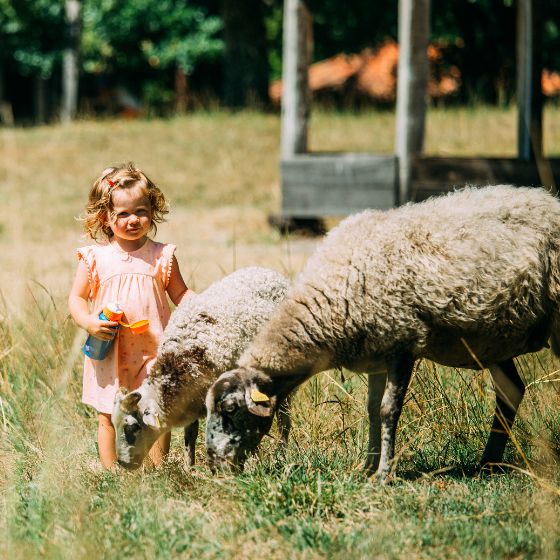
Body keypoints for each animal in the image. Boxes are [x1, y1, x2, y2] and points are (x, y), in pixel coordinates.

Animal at [112, 266, 290, 468]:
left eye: (133, 427)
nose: (122, 463)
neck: (181, 361)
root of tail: (267, 271)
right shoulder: (191, 402)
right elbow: (190, 434)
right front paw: (189, 467)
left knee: (284, 416)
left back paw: (283, 452)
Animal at [203, 185, 560, 482]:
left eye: (230, 410)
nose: (214, 464)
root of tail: (548, 198)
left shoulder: (402, 343)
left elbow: (388, 410)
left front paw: (384, 474)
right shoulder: (375, 355)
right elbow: (372, 411)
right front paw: (366, 467)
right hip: (492, 340)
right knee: (511, 390)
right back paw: (488, 464)